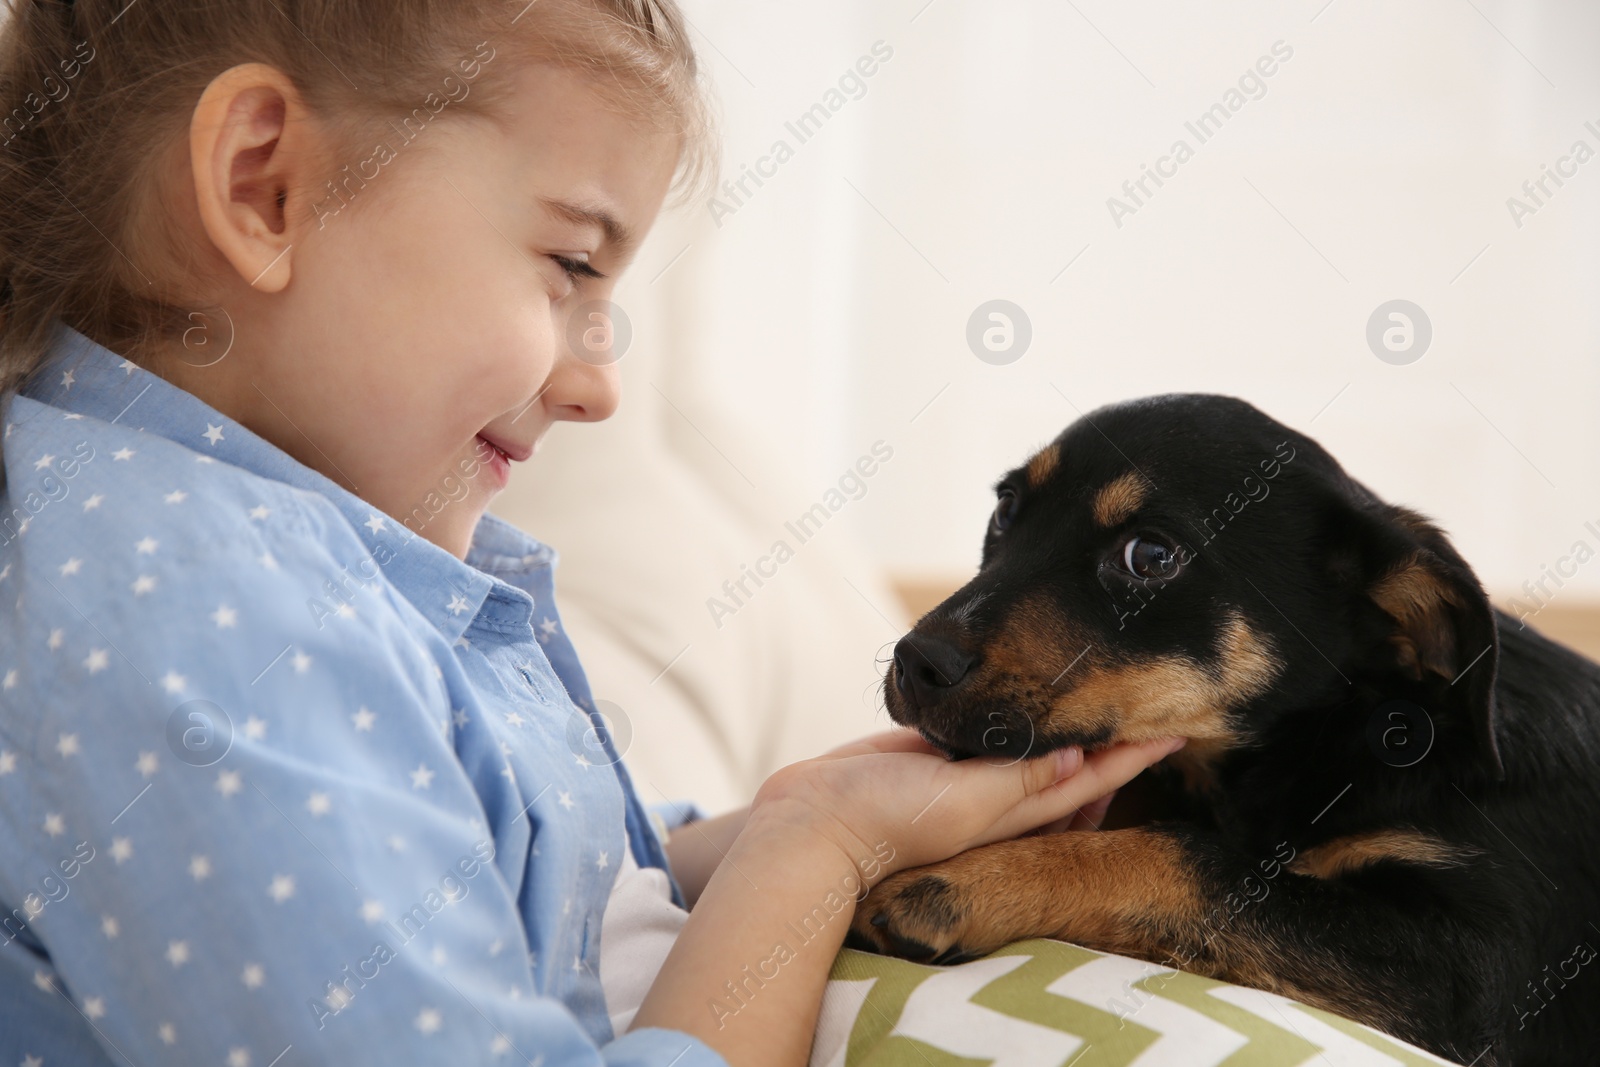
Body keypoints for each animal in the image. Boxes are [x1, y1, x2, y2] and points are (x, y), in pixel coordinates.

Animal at [844, 395, 1593, 1067]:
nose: (915, 663)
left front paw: (959, 883)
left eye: (1151, 556)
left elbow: (1186, 855)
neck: (1347, 736)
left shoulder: (1471, 971)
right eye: (1005, 509)